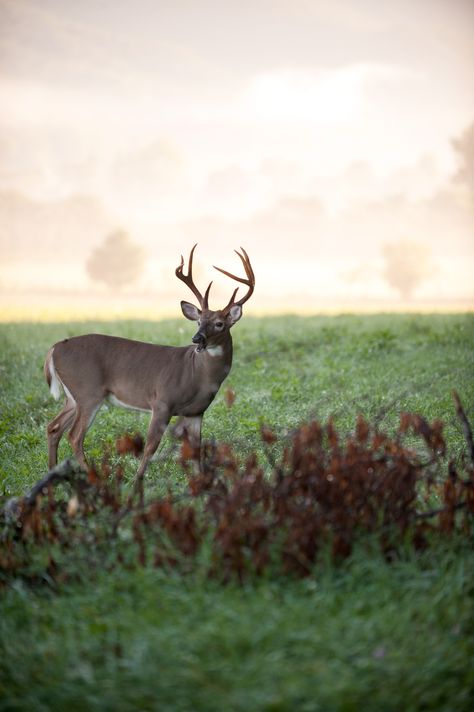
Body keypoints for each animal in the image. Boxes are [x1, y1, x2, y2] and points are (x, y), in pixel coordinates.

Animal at [44, 242, 256, 482]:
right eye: (199, 321)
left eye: (219, 323)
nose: (197, 339)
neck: (197, 374)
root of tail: (55, 347)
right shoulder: (162, 401)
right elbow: (150, 446)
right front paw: (137, 480)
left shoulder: (196, 412)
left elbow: (196, 449)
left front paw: (201, 483)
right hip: (88, 392)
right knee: (74, 436)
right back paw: (93, 477)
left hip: (73, 397)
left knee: (54, 427)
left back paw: (52, 475)